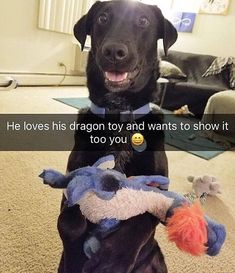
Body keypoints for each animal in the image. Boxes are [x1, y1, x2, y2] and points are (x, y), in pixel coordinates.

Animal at [57, 1, 176, 270]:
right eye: (102, 18)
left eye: (143, 21)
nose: (113, 51)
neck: (118, 112)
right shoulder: (73, 177)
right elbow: (69, 220)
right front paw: (77, 254)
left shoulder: (158, 190)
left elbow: (140, 219)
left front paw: (113, 259)